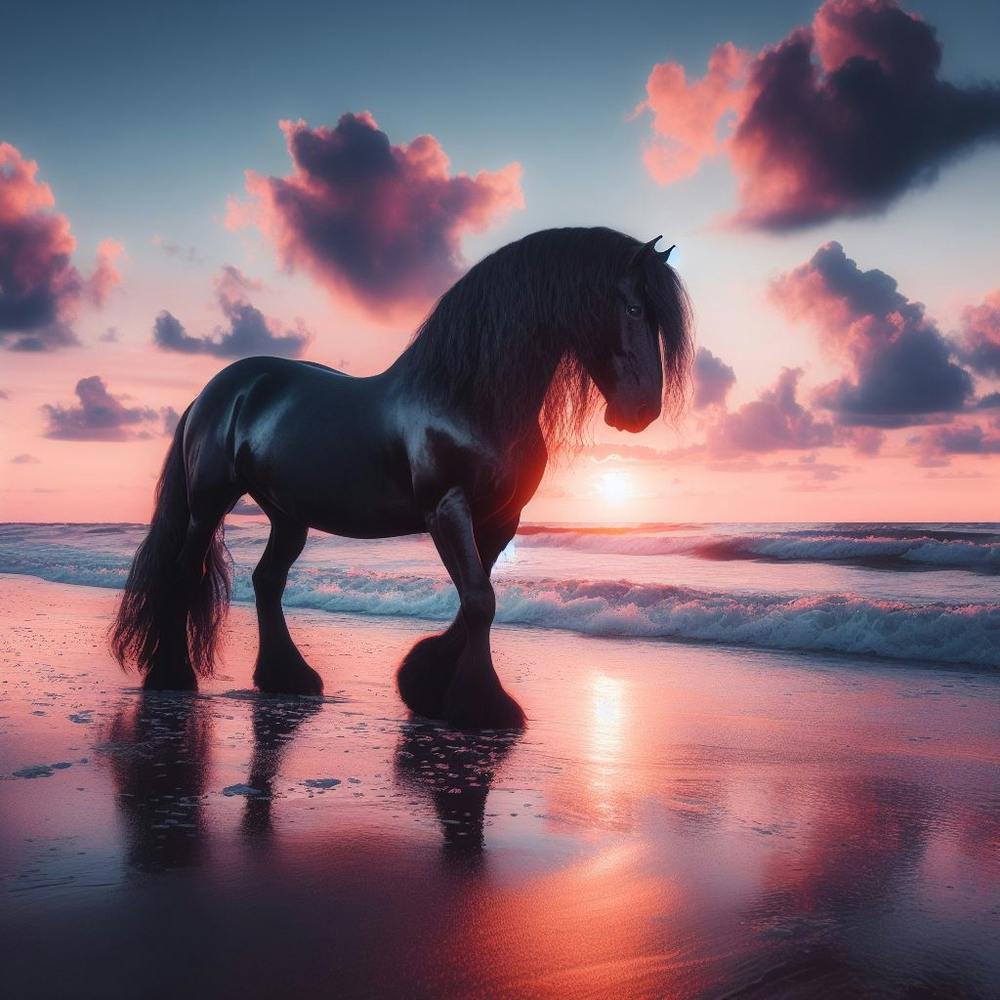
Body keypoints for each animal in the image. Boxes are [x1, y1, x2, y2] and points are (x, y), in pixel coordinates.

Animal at [111, 226, 693, 729]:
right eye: (634, 308)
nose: (643, 410)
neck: (468, 397)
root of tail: (217, 390)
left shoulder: (501, 519)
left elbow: (476, 599)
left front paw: (427, 685)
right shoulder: (446, 509)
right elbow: (479, 599)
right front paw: (481, 706)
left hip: (288, 515)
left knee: (267, 580)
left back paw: (287, 678)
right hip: (209, 504)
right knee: (186, 571)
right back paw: (173, 673)